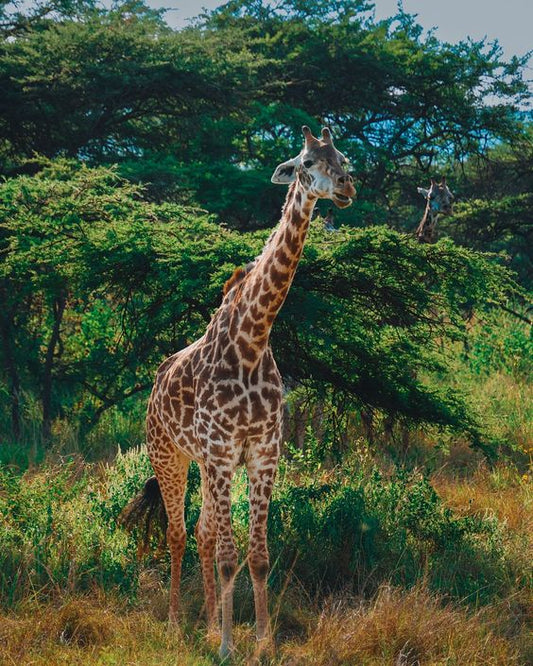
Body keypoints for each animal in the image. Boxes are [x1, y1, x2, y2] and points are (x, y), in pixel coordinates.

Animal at [124, 124, 356, 652]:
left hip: (208, 464)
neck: (254, 339)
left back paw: (209, 623)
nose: (346, 189)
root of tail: (154, 384)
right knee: (180, 534)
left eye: (344, 160)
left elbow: (258, 556)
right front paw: (230, 647)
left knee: (205, 534)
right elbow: (231, 556)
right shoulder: (222, 448)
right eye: (306, 164)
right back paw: (177, 623)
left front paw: (263, 642)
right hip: (171, 455)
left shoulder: (262, 451)